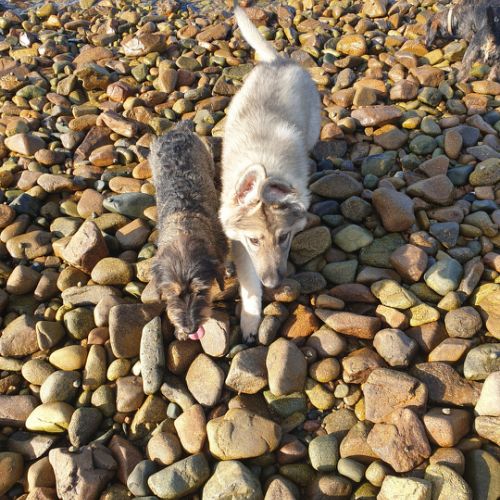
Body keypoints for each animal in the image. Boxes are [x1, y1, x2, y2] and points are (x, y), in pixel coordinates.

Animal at [219, 1, 321, 343]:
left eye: (284, 237)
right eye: (254, 240)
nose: (274, 284)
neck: (266, 162)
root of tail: (277, 61)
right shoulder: (238, 244)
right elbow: (249, 282)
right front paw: (251, 319)